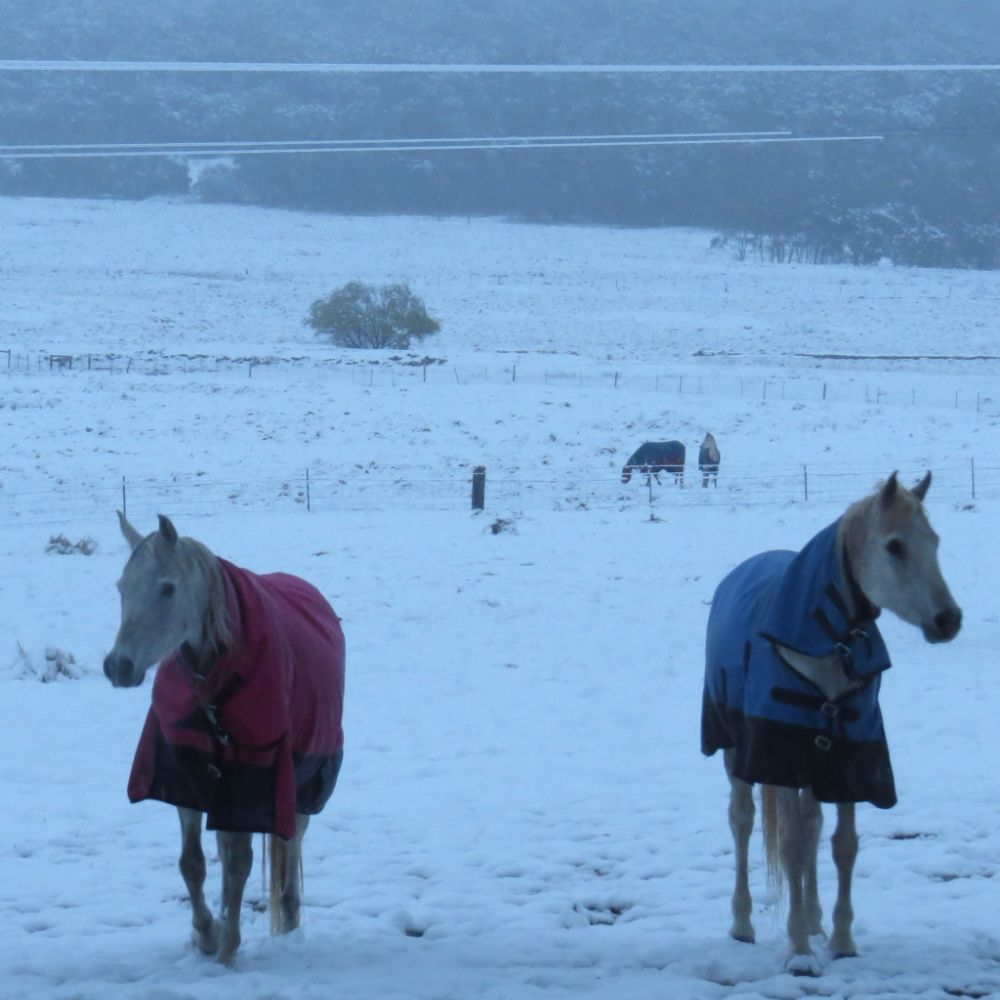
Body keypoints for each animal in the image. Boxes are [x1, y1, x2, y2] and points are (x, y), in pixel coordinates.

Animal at [103, 513, 345, 966]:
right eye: (121, 587)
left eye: (167, 588)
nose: (118, 666)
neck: (211, 683)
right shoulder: (184, 773)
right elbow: (193, 863)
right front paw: (206, 933)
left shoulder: (254, 775)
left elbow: (240, 863)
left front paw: (228, 947)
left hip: (303, 781)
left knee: (291, 842)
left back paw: (289, 920)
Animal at [701, 472, 960, 975]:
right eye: (895, 546)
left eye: (934, 541)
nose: (948, 619)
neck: (826, 649)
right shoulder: (780, 753)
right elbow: (791, 845)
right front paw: (800, 953)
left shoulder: (852, 755)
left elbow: (841, 844)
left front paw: (839, 940)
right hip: (736, 750)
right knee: (743, 821)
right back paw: (743, 924)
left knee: (812, 825)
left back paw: (815, 920)